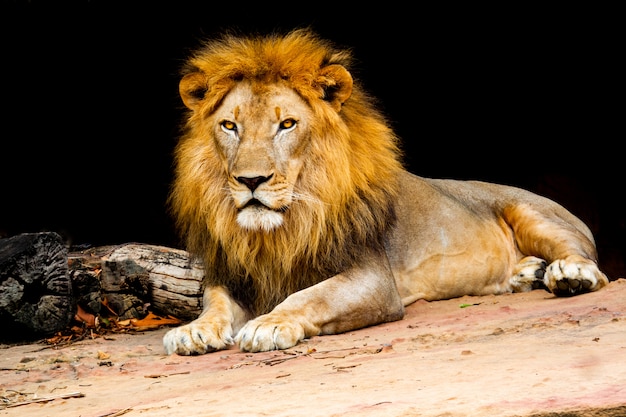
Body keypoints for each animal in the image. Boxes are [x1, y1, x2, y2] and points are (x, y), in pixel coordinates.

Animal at [160, 29, 604, 354]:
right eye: (229, 126)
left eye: (286, 124)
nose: (251, 181)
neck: (282, 230)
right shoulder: (233, 273)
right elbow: (214, 302)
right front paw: (193, 330)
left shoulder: (372, 278)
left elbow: (311, 296)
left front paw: (269, 323)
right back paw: (527, 274)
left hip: (534, 213)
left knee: (586, 258)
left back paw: (568, 275)